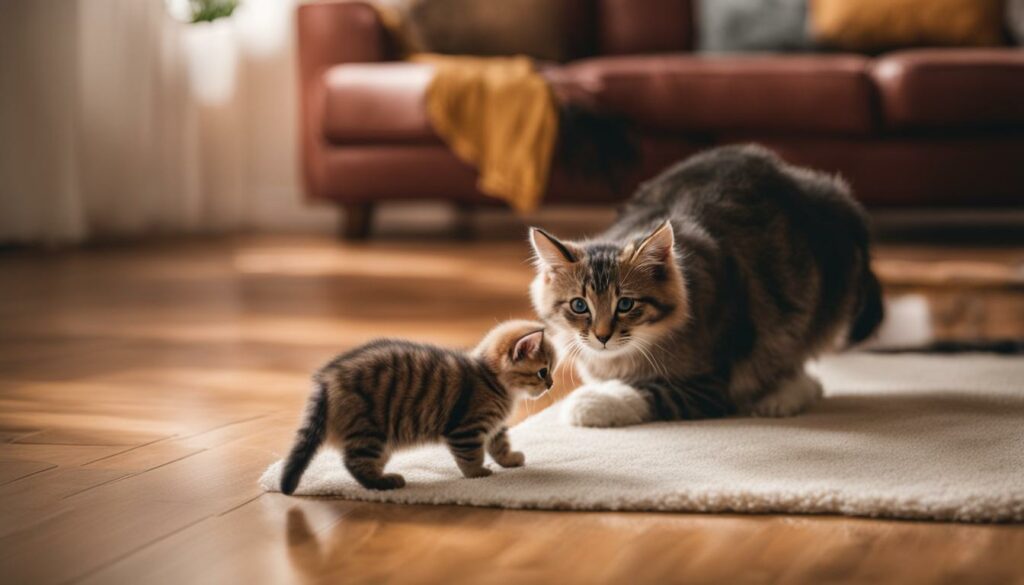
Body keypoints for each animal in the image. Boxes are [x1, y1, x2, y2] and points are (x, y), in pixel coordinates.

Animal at [278, 319, 552, 493]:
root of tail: (326, 379)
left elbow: (500, 445)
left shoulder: (494, 427)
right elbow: (471, 455)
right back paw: (385, 483)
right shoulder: (467, 430)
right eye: (543, 371)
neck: (492, 380)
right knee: (354, 464)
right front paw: (477, 473)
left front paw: (509, 459)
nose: (550, 385)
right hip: (370, 432)